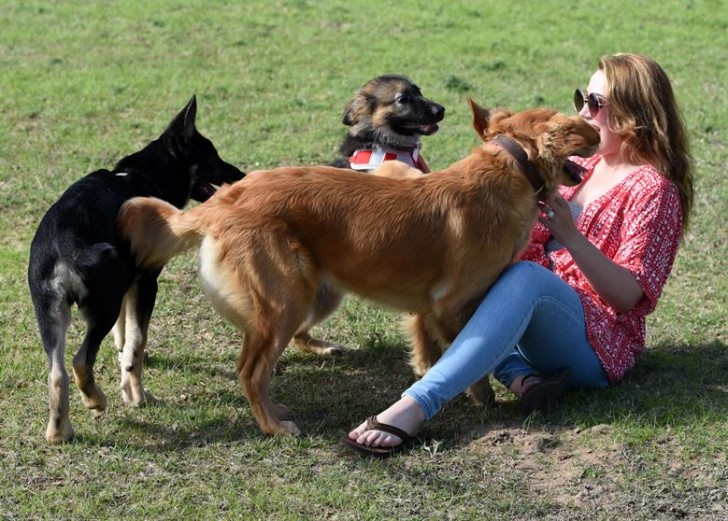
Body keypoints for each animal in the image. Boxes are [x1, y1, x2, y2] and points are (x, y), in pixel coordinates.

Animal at [28, 95, 245, 440]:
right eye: (212, 156)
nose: (240, 174)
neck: (142, 176)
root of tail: (65, 240)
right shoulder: (146, 283)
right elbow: (136, 344)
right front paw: (135, 395)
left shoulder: (128, 286)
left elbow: (125, 334)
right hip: (101, 304)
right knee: (80, 361)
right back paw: (98, 400)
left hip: (50, 314)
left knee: (57, 372)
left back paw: (59, 432)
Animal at [118, 99, 596, 436]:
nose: (593, 135)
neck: (509, 168)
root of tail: (223, 200)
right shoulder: (452, 305)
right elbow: (468, 361)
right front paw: (482, 399)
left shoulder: (427, 309)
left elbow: (428, 353)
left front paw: (428, 376)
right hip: (286, 301)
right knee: (251, 372)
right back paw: (273, 426)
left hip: (313, 296)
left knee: (265, 364)